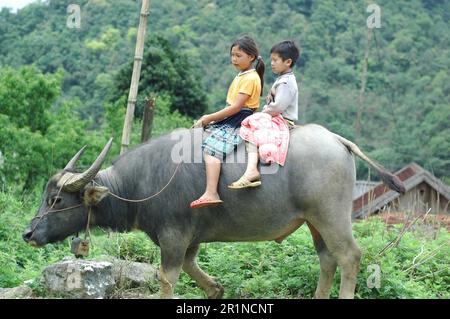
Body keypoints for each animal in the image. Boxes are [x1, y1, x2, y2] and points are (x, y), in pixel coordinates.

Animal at [23, 125, 404, 300]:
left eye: (56, 199)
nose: (28, 233)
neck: (138, 183)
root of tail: (339, 140)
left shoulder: (173, 236)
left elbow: (167, 277)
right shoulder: (189, 238)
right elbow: (194, 268)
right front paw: (216, 289)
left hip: (331, 216)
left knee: (349, 256)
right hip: (313, 222)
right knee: (327, 259)